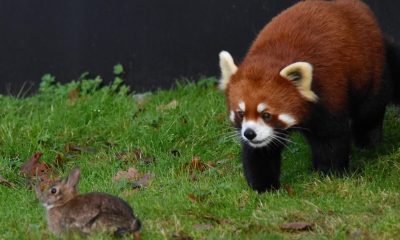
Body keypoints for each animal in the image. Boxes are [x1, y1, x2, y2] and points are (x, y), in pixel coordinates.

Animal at [220, 0, 398, 192]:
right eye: (241, 113)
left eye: (266, 114)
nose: (249, 133)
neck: (271, 56)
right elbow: (260, 151)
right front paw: (264, 186)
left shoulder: (328, 93)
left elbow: (330, 138)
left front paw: (329, 174)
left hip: (372, 68)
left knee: (370, 109)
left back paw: (368, 143)